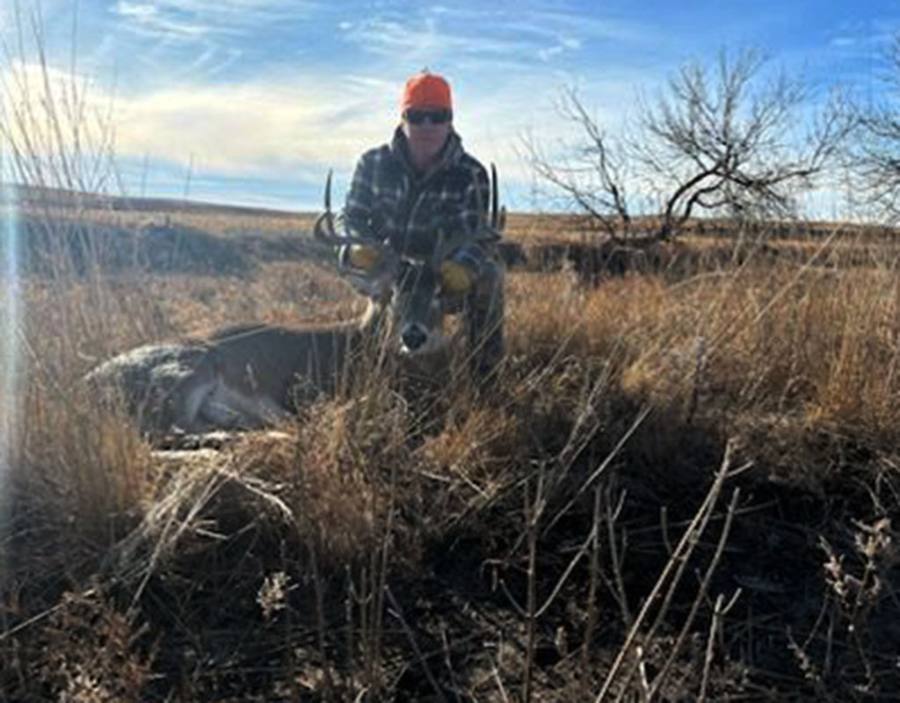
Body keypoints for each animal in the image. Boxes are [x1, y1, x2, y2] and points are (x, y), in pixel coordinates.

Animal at [85, 166, 505, 438]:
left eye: (437, 293)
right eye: (392, 294)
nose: (414, 336)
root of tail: (86, 385)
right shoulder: (307, 390)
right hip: (187, 371)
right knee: (169, 433)